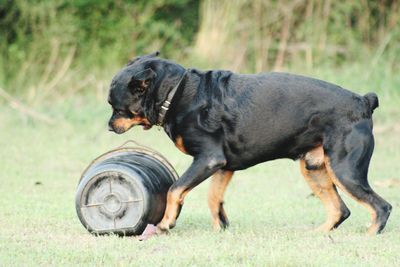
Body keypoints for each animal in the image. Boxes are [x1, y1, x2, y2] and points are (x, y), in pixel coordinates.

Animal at [108, 51, 392, 237]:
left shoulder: (208, 159)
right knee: (340, 210)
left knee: (381, 207)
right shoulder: (222, 166)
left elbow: (174, 189)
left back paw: (369, 235)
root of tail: (363, 102)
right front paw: (219, 229)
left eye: (117, 108)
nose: (109, 127)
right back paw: (319, 233)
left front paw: (167, 223)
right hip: (315, 168)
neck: (174, 93)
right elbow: (213, 197)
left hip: (345, 170)